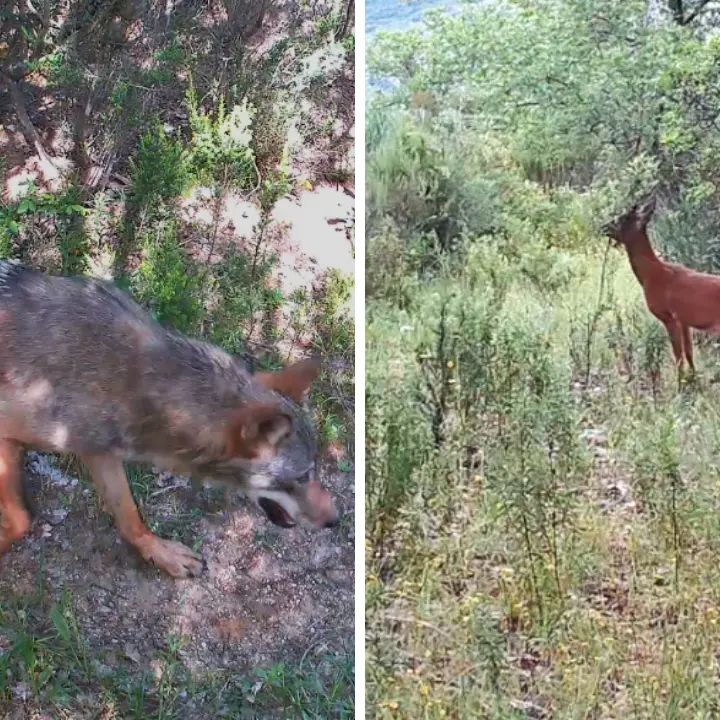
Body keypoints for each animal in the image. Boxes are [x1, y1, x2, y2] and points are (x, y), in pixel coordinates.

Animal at [0, 261, 339, 578]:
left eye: (313, 470)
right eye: (301, 477)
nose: (335, 520)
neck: (131, 383)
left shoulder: (101, 453)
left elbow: (130, 516)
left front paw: (161, 553)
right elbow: (22, 519)